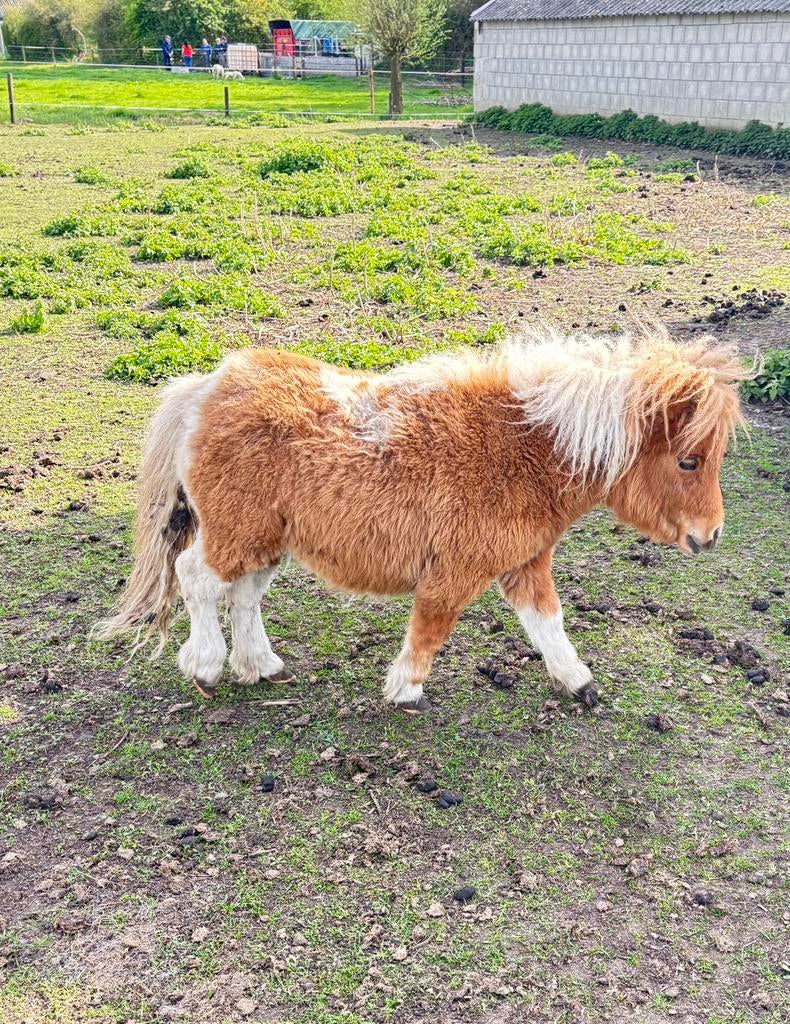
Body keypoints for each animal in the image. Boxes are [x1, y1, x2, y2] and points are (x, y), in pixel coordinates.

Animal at [96, 326, 746, 712]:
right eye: (689, 460)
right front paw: (405, 689)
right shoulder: (454, 572)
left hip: (265, 539)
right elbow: (431, 627)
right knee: (196, 579)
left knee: (244, 595)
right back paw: (206, 667)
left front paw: (578, 681)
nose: (710, 536)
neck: (519, 449)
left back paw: (261, 667)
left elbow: (548, 624)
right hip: (237, 532)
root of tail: (206, 387)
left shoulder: (526, 564)